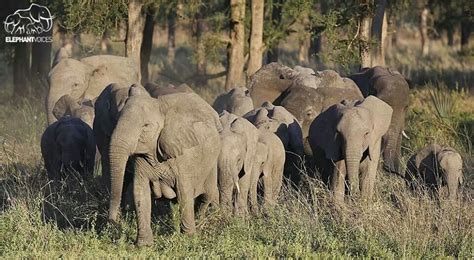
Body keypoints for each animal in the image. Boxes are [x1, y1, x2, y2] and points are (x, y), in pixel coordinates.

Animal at [107, 92, 222, 247]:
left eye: (146, 126)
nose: (114, 223)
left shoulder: (184, 157)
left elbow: (184, 191)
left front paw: (188, 239)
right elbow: (140, 191)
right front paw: (143, 245)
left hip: (211, 162)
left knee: (207, 194)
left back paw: (199, 223)